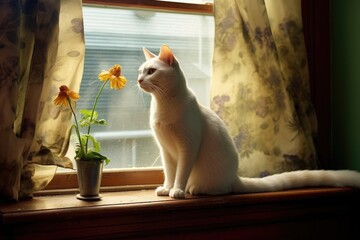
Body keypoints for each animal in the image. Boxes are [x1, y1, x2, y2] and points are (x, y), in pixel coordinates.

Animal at [137, 45, 360, 199]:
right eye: (140, 71)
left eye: (151, 71)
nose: (139, 80)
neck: (163, 106)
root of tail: (234, 177)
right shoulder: (165, 150)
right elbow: (169, 172)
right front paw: (167, 188)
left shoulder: (188, 146)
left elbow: (181, 172)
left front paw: (177, 190)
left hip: (214, 177)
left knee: (221, 189)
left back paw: (196, 189)